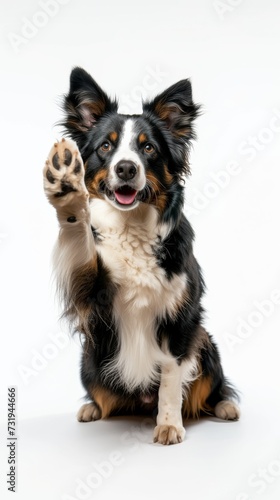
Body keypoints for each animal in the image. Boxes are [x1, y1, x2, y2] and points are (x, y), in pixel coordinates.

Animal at [42, 66, 240, 446]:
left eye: (147, 148)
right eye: (106, 146)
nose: (126, 169)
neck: (131, 225)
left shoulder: (181, 318)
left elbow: (171, 380)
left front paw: (169, 425)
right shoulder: (92, 297)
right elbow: (79, 242)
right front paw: (67, 188)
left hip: (205, 342)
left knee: (212, 389)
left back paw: (225, 406)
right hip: (90, 359)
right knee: (106, 400)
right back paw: (91, 408)